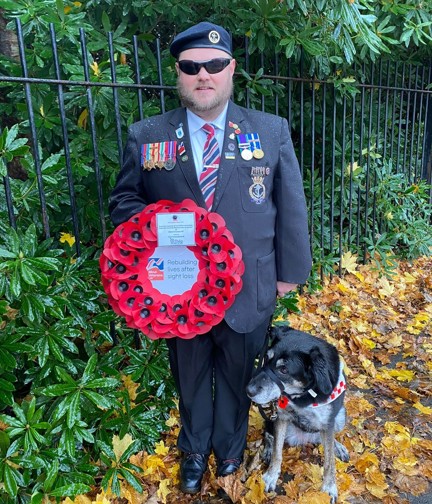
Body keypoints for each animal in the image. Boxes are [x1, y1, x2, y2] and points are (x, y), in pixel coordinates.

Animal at [245, 324, 350, 502]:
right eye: (266, 357)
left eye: (283, 369)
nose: (248, 390)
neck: (304, 394)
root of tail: (305, 439)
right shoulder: (281, 416)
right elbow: (277, 452)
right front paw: (271, 476)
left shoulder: (327, 423)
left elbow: (329, 461)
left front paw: (329, 488)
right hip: (271, 419)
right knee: (269, 436)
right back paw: (267, 449)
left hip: (341, 416)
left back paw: (338, 446)